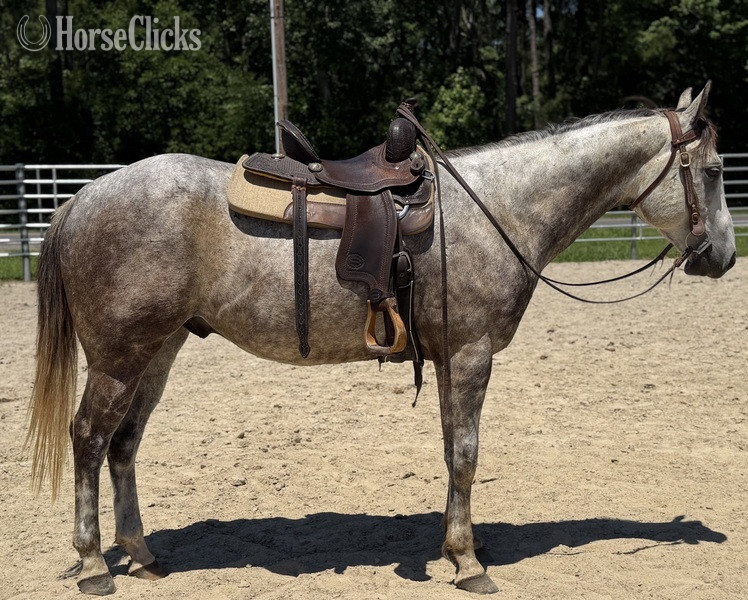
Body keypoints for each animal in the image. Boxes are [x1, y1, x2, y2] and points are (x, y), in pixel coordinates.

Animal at [27, 84, 735, 595]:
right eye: (714, 170)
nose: (724, 256)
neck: (499, 208)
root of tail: (83, 195)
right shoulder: (472, 353)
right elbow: (466, 454)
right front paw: (469, 563)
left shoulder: (450, 357)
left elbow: (452, 450)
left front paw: (458, 545)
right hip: (118, 359)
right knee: (88, 440)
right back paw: (94, 565)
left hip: (159, 352)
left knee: (124, 445)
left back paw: (142, 554)